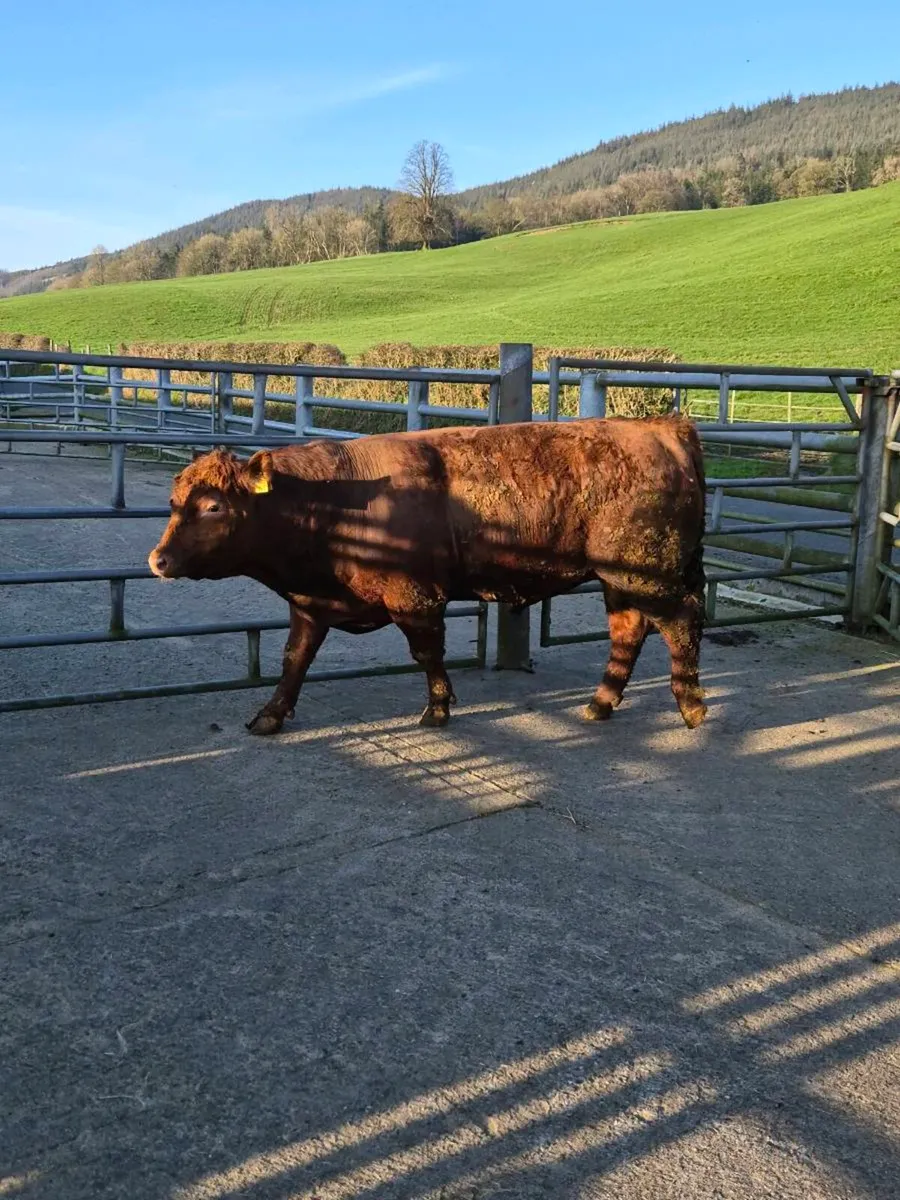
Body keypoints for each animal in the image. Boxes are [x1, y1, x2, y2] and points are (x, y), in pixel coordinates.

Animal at [148, 415, 708, 735]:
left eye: (214, 506)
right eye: (175, 502)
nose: (158, 561)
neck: (338, 499)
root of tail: (663, 426)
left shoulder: (415, 598)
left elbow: (427, 652)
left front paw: (438, 709)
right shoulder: (309, 604)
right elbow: (294, 660)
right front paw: (269, 715)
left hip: (646, 573)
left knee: (680, 623)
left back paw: (691, 708)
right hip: (620, 579)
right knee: (629, 631)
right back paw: (599, 704)